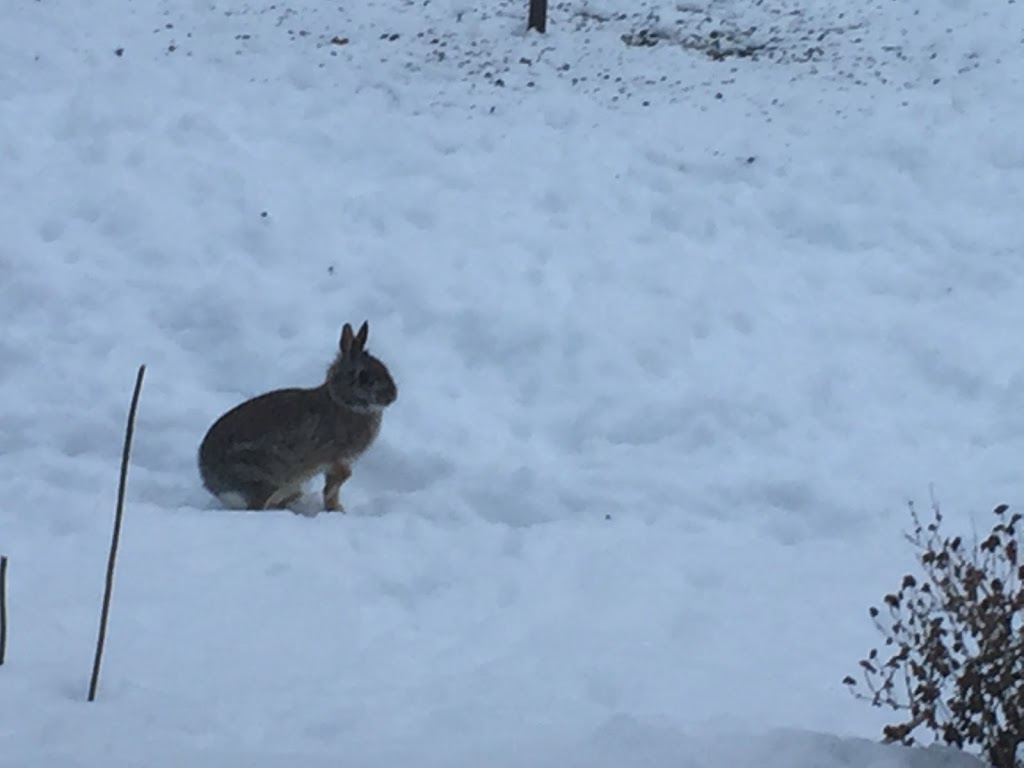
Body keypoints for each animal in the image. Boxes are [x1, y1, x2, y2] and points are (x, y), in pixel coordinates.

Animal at [197, 321, 397, 514]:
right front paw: (335, 510)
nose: (393, 396)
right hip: (262, 478)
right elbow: (335, 484)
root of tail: (213, 484)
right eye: (363, 376)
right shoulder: (334, 457)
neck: (341, 401)